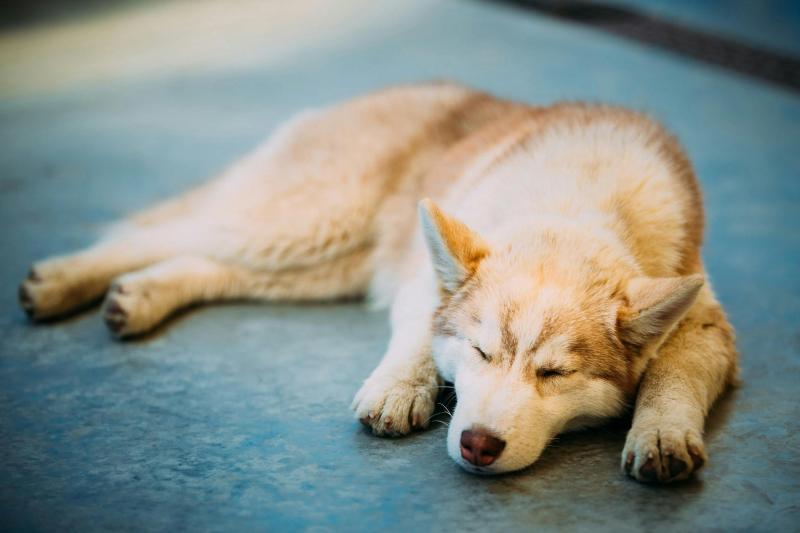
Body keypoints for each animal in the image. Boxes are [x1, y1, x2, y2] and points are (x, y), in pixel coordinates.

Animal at [17, 82, 736, 482]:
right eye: (480, 353)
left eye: (554, 374)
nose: (479, 445)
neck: (575, 200)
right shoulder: (427, 277)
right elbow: (419, 330)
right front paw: (400, 386)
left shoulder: (703, 318)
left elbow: (675, 372)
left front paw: (663, 432)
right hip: (310, 217)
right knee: (167, 232)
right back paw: (63, 279)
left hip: (326, 261)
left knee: (213, 262)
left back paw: (141, 295)